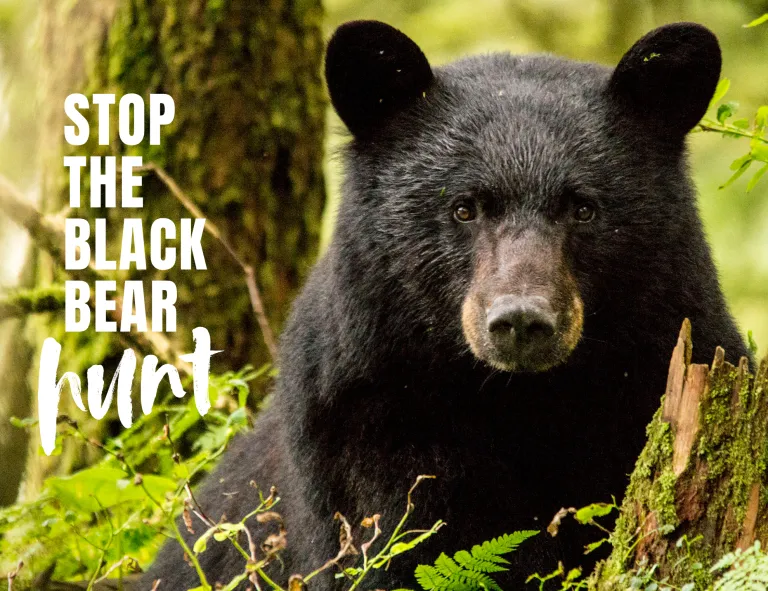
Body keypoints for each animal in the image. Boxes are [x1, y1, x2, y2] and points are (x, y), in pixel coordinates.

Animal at [146, 20, 749, 590]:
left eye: (583, 208)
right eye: (464, 207)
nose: (521, 321)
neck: (521, 401)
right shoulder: (367, 426)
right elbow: (396, 546)